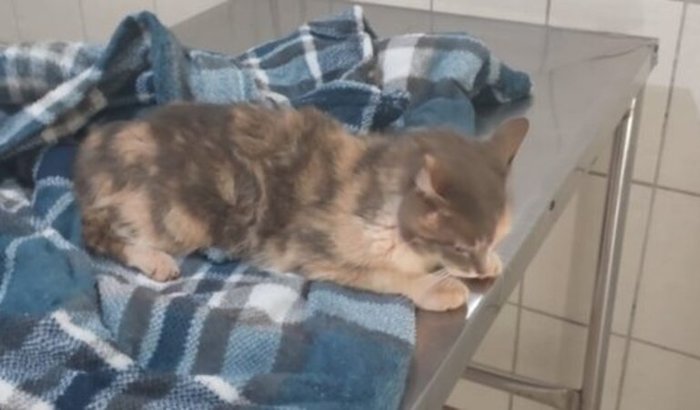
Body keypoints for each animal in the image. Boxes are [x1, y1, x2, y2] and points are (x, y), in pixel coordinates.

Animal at [73, 103, 528, 311]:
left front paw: (490, 265)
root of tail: (98, 144)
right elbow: (384, 274)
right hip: (176, 214)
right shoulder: (312, 247)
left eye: (494, 239)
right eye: (461, 246)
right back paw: (154, 260)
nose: (481, 266)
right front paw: (436, 287)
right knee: (95, 231)